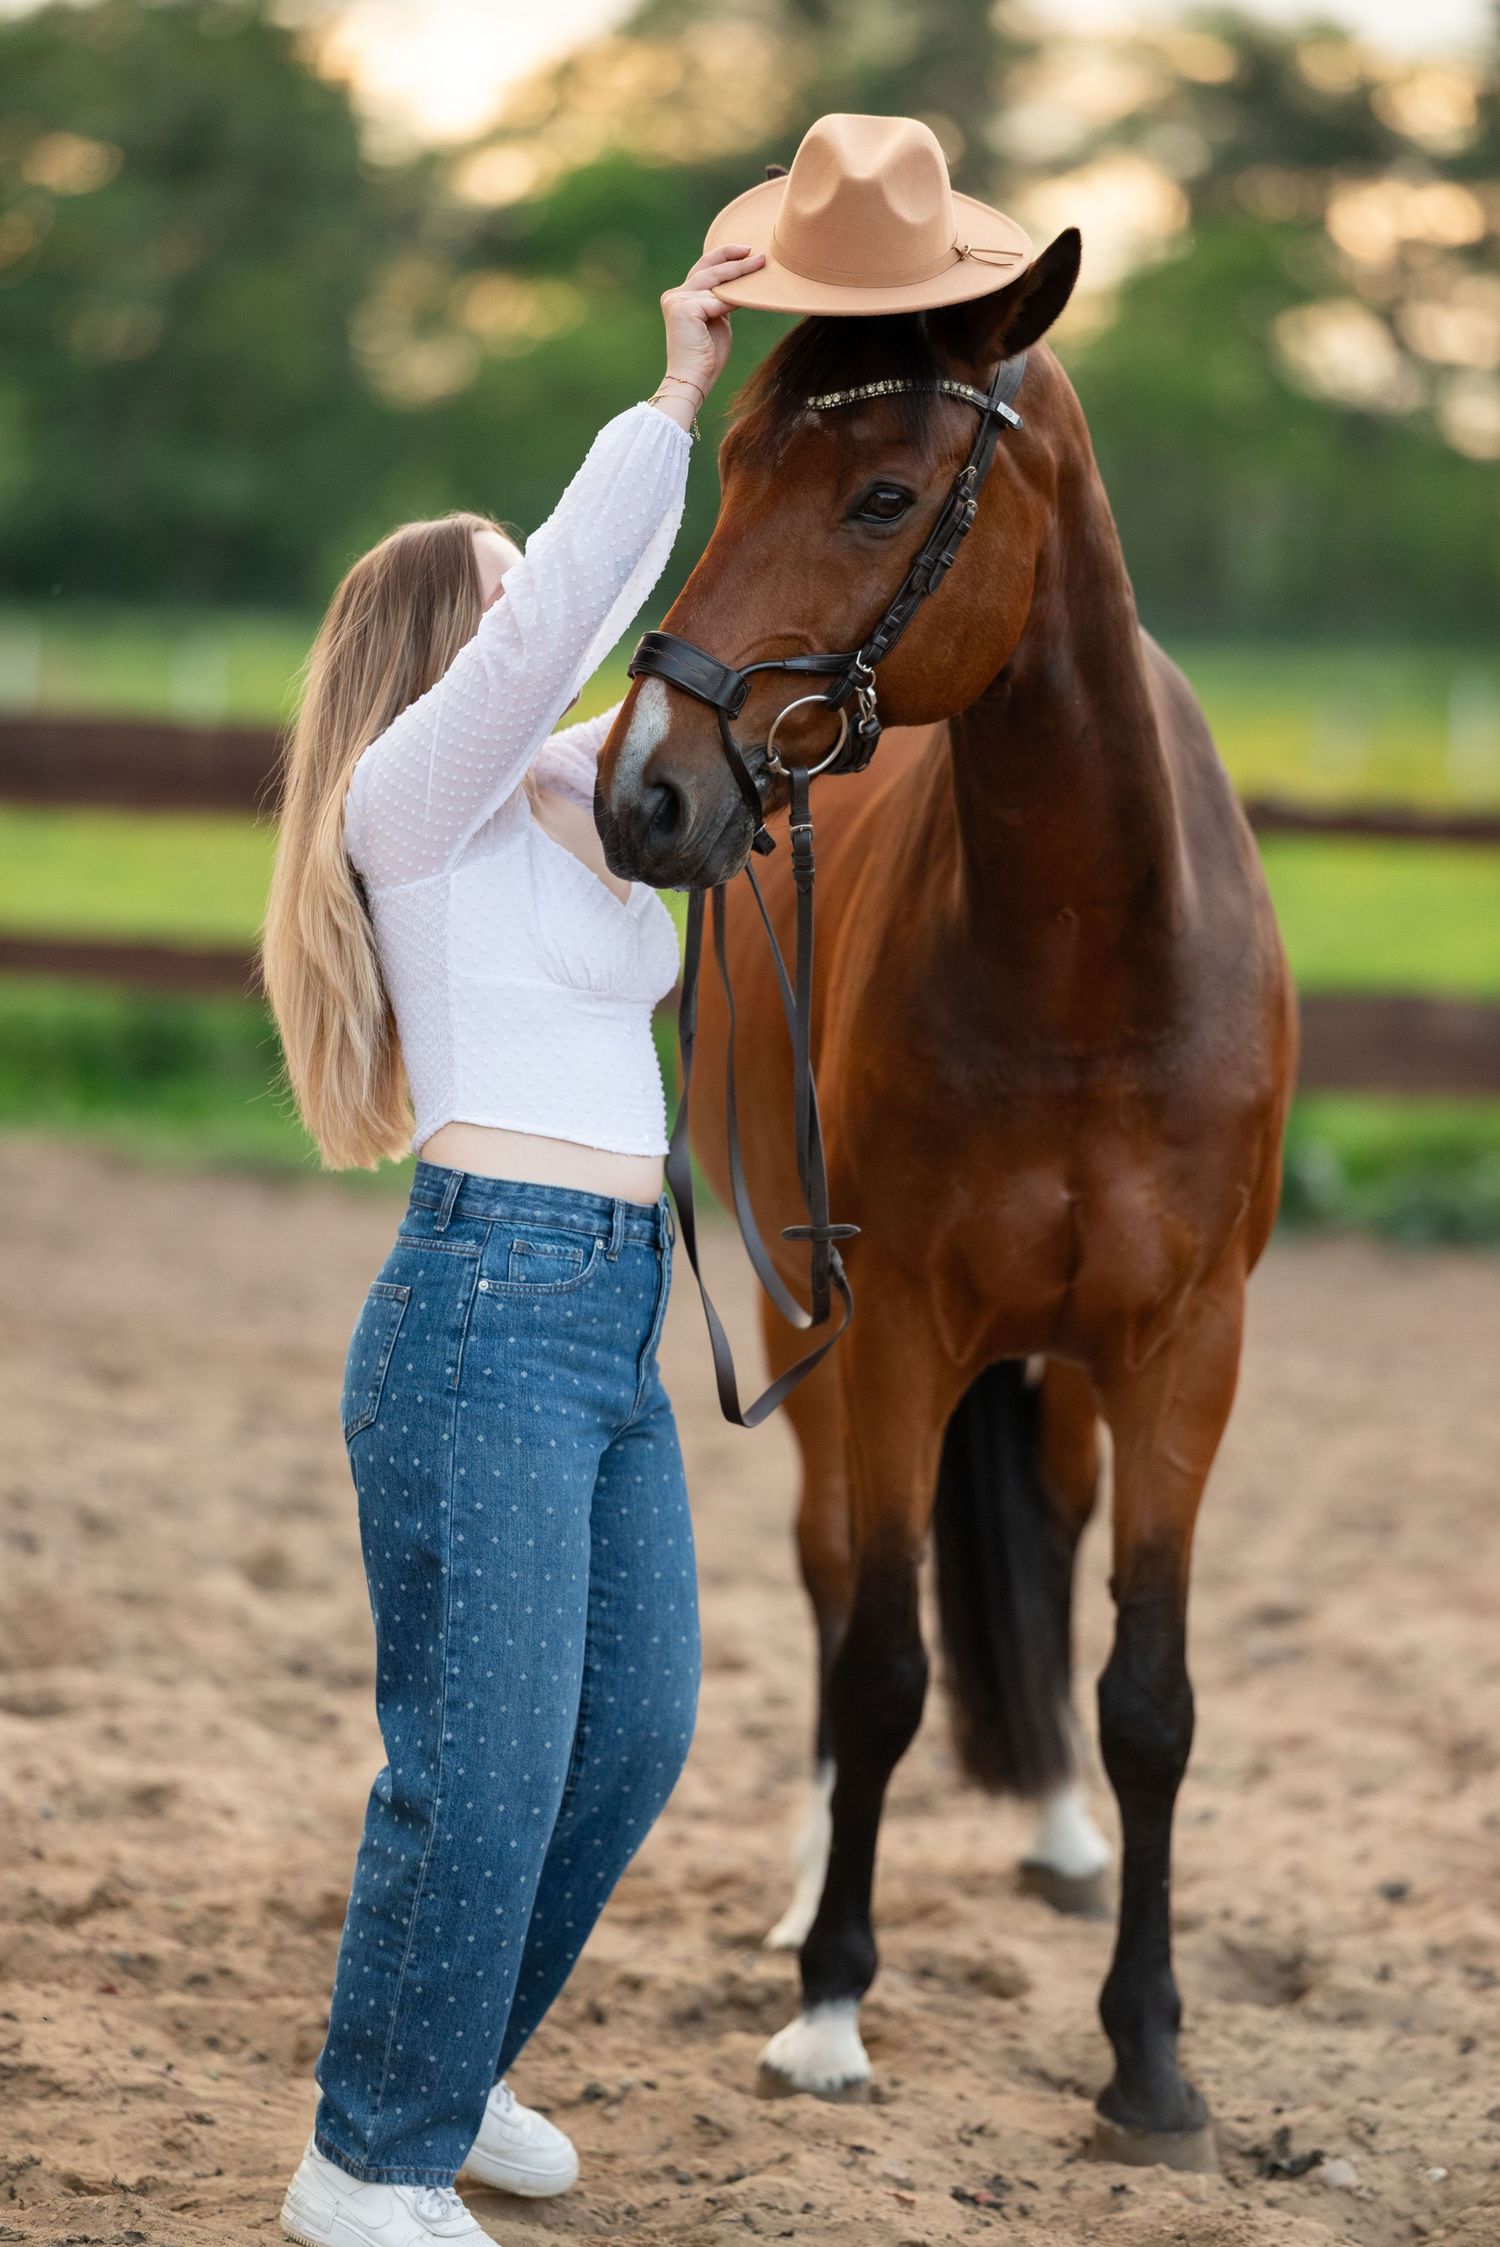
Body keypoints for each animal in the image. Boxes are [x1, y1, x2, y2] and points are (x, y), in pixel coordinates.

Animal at [595, 228, 1297, 2169]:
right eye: (731, 474)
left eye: (884, 495)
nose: (644, 789)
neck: (1092, 967)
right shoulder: (889, 1323)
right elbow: (884, 1660)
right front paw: (831, 1998)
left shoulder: (1184, 1351)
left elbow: (1151, 1697)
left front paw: (1150, 2061)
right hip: (808, 1332)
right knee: (844, 1581)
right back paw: (808, 1885)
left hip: (1046, 1372)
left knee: (1042, 1544)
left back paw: (1056, 1837)